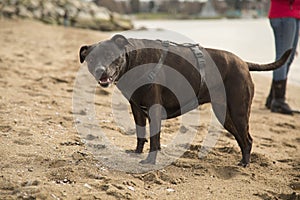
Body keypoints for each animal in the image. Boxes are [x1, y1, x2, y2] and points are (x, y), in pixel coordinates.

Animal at [79, 34, 290, 167]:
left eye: (110, 56)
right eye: (91, 60)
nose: (100, 70)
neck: (134, 60)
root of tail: (244, 63)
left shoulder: (154, 109)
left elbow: (154, 138)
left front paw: (150, 161)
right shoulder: (137, 109)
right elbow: (141, 133)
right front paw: (138, 151)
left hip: (238, 112)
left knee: (247, 138)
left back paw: (245, 163)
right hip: (226, 115)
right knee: (243, 139)